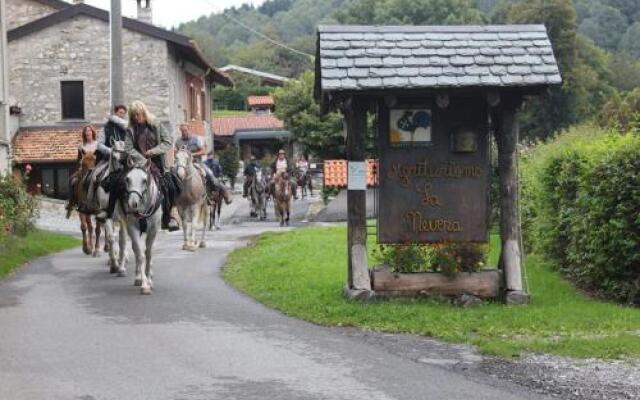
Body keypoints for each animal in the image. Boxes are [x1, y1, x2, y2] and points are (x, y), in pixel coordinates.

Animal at [121, 161, 162, 296]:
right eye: (127, 179)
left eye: (144, 180)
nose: (133, 204)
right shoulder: (133, 228)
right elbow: (140, 255)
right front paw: (144, 285)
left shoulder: (153, 229)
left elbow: (148, 254)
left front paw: (149, 280)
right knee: (135, 250)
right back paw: (138, 277)